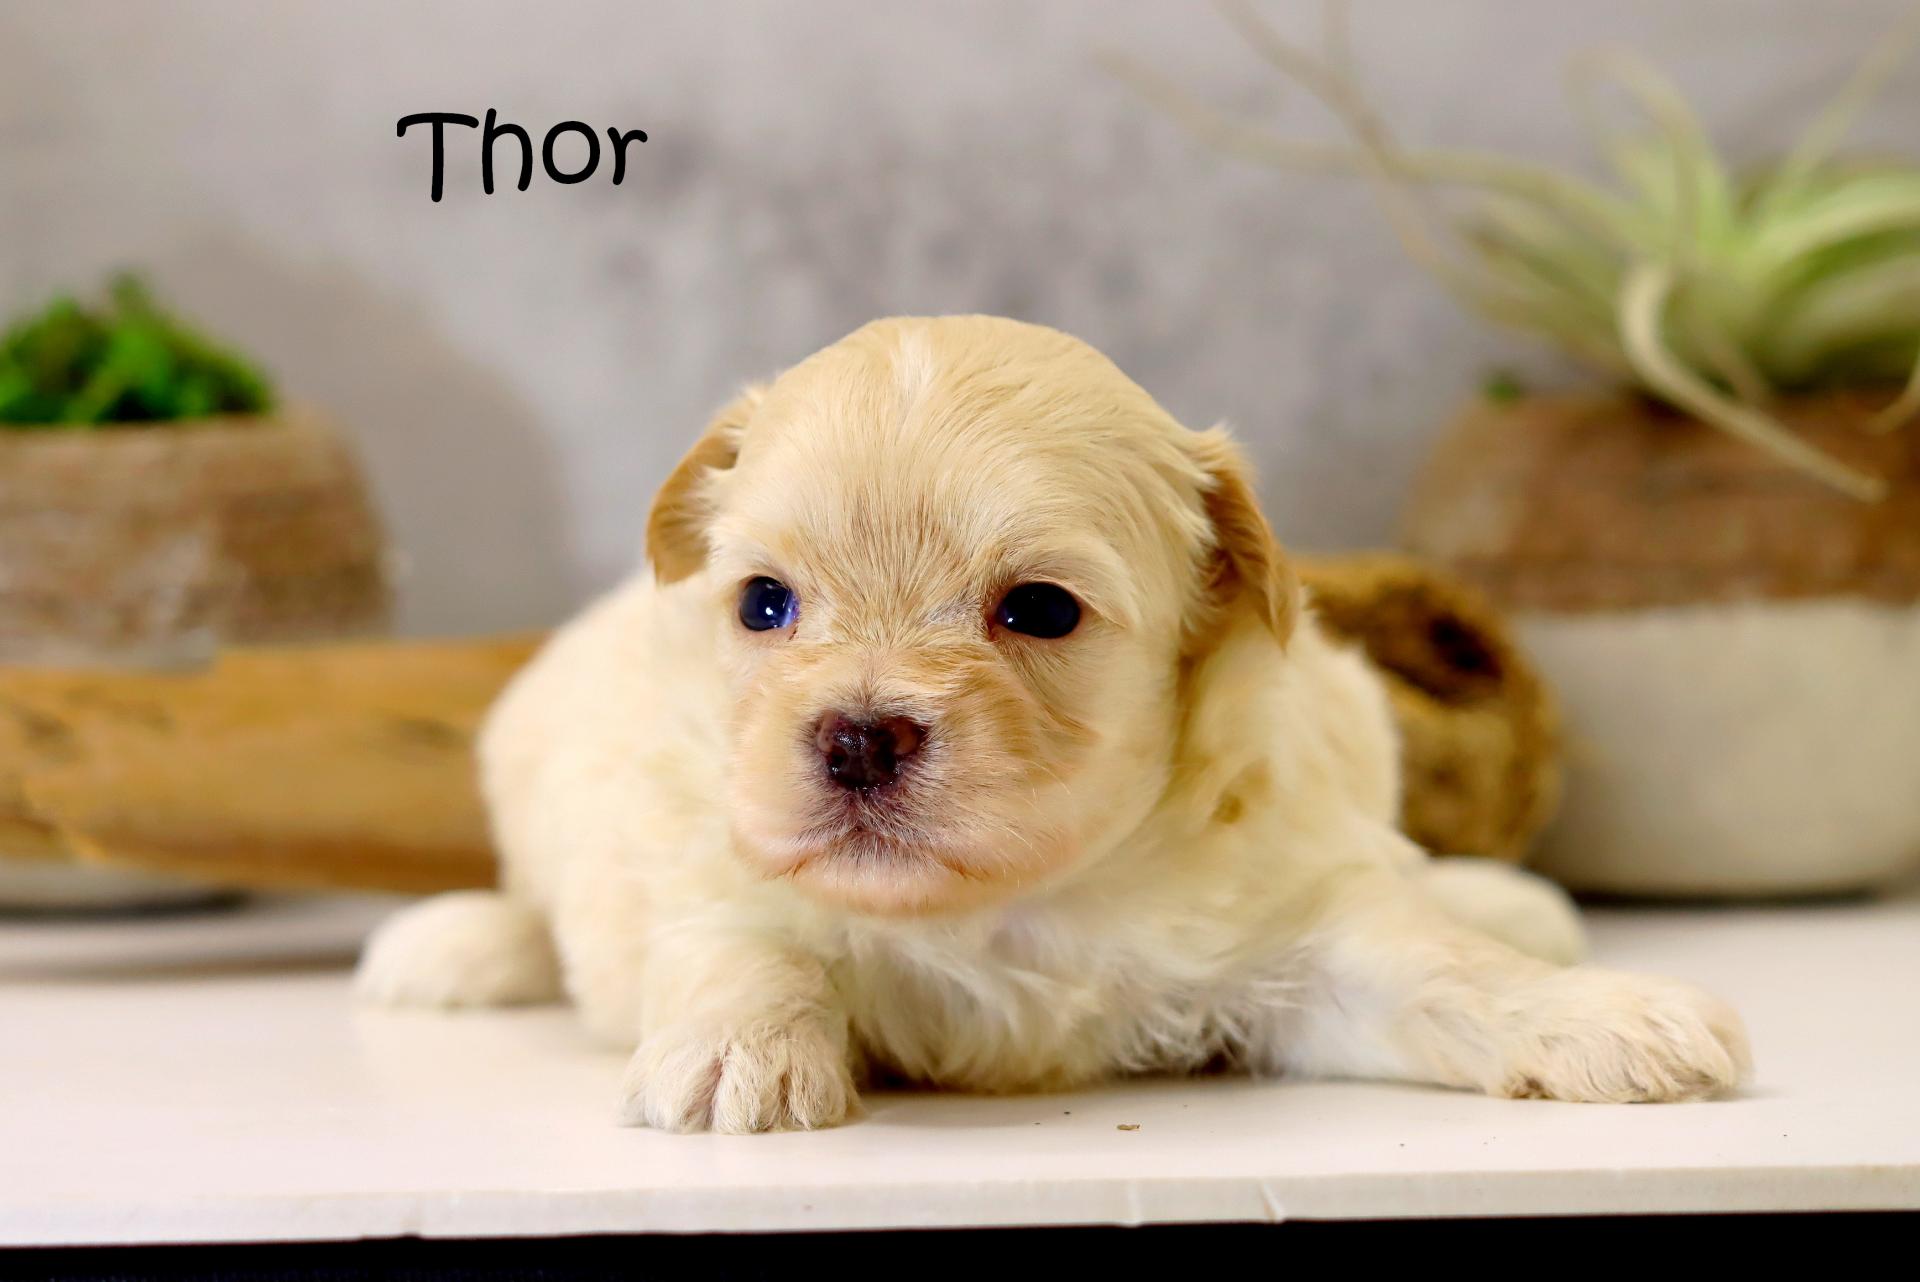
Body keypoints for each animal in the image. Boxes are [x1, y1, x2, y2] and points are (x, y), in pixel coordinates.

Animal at [357, 315, 1750, 1131]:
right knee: (531, 902)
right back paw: (454, 944)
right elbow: (741, 940)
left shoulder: (1291, 926)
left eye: (1037, 609)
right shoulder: (704, 838)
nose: (854, 737)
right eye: (762, 603)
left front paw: (1601, 1019)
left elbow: (1438, 966)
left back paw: (1509, 899)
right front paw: (733, 1056)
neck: (1000, 905)